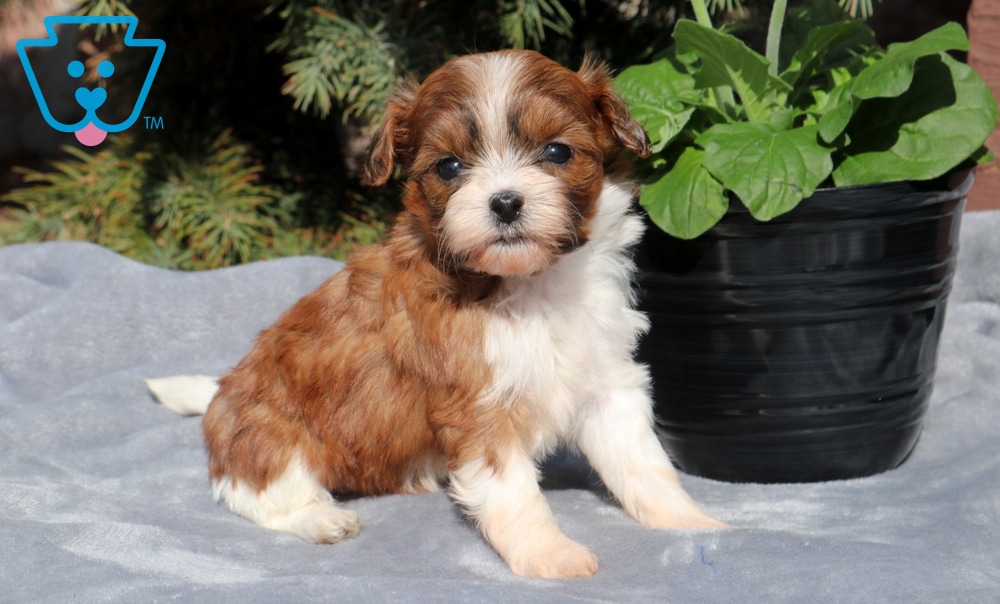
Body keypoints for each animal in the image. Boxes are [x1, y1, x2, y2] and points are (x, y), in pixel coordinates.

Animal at [147, 49, 724, 579]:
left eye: (557, 152)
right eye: (449, 166)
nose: (505, 202)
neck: (533, 284)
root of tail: (220, 393)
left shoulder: (607, 383)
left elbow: (643, 463)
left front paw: (694, 524)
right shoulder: (477, 409)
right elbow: (516, 494)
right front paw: (550, 556)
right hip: (267, 435)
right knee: (260, 492)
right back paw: (322, 520)